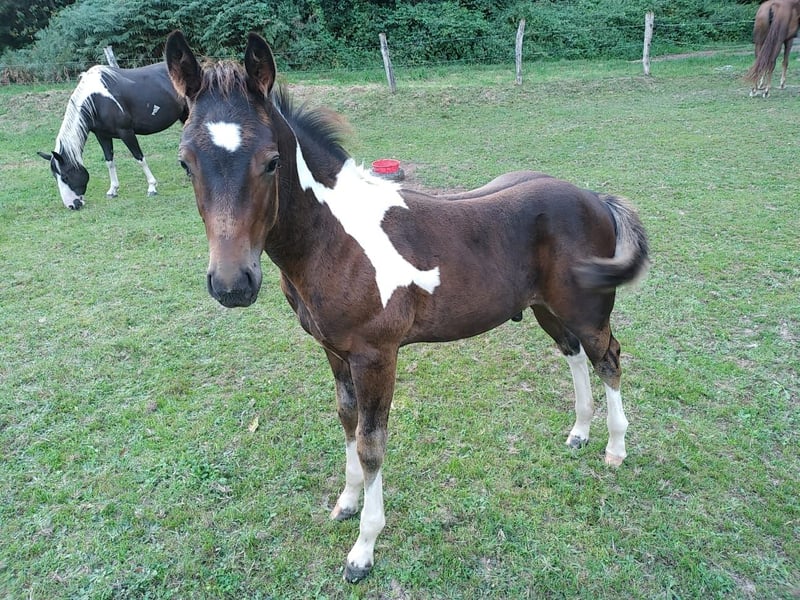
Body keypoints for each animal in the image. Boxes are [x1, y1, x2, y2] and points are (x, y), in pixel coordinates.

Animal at [38, 62, 188, 209]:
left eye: (65, 177)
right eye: (55, 177)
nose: (72, 205)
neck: (97, 100)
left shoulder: (126, 132)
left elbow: (139, 158)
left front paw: (152, 187)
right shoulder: (102, 136)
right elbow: (109, 161)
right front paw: (113, 190)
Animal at [165, 30, 650, 582]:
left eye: (271, 160)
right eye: (185, 162)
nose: (232, 285)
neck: (335, 238)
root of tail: (594, 197)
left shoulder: (377, 355)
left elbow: (372, 444)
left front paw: (363, 549)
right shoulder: (334, 351)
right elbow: (347, 421)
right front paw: (346, 502)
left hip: (588, 310)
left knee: (608, 357)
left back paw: (614, 448)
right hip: (549, 309)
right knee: (573, 354)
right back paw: (579, 433)